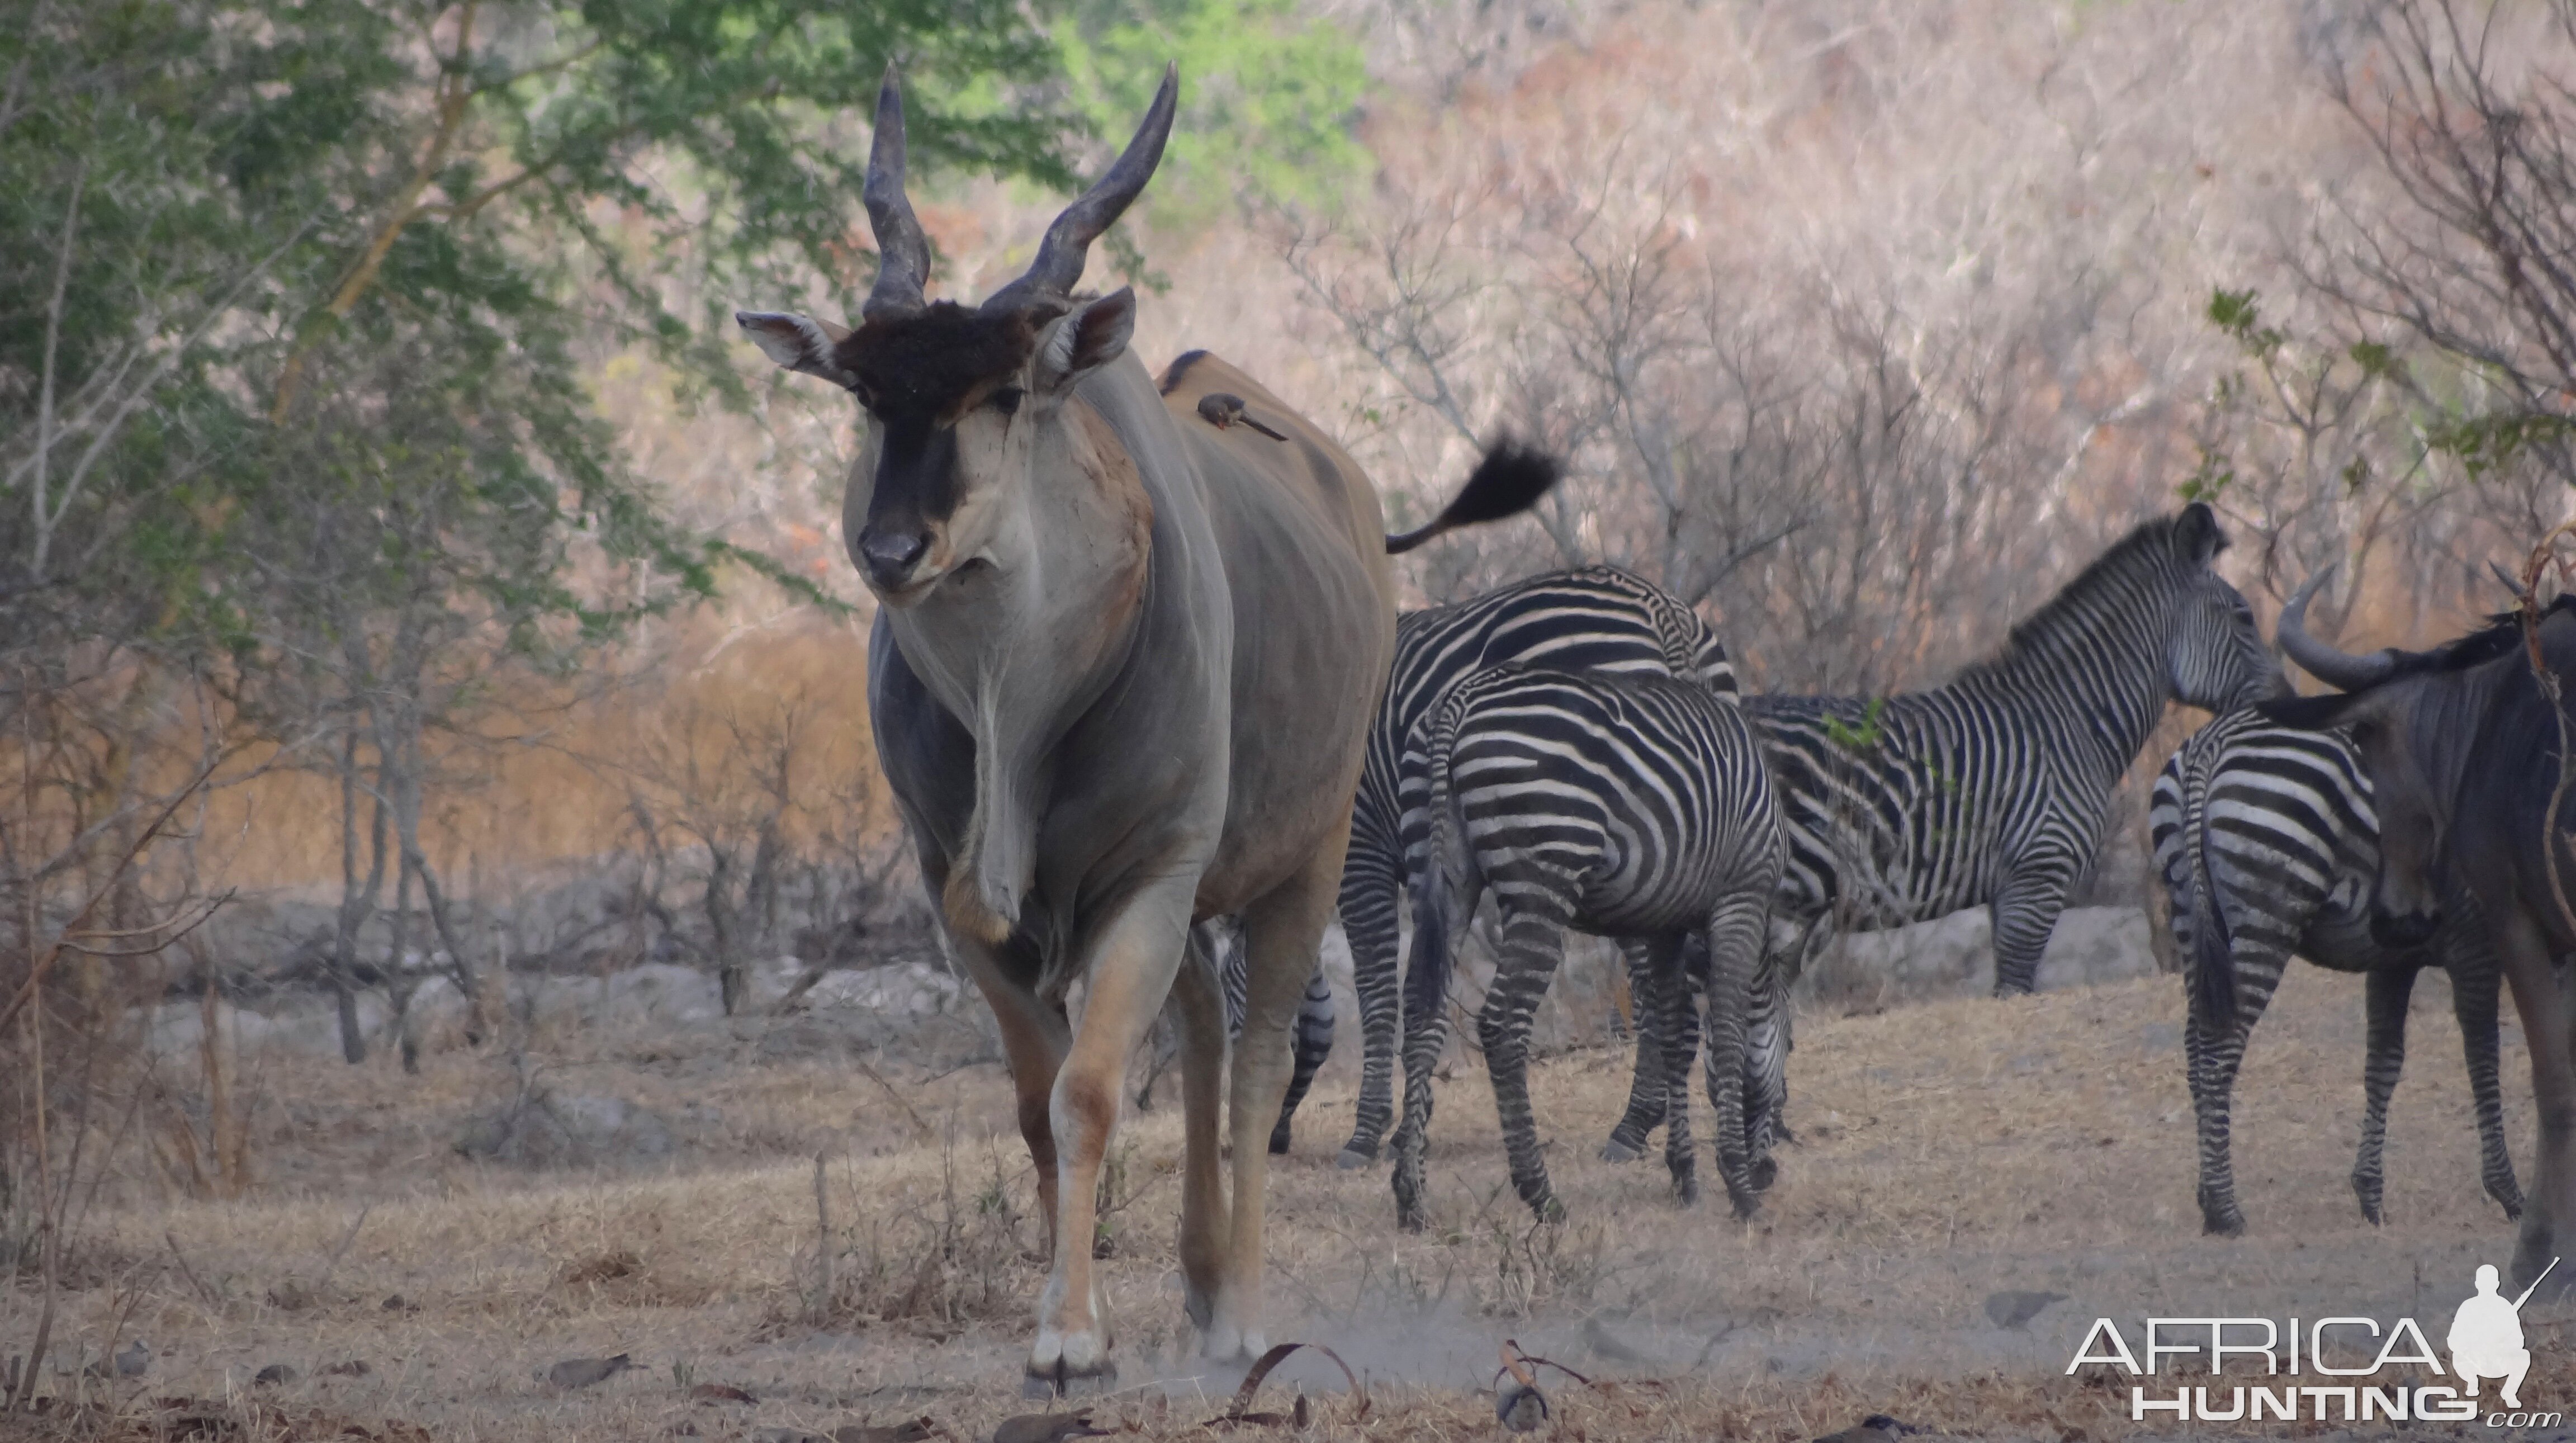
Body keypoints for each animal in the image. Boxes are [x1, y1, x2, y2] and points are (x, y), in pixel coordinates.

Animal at [736, 67, 1556, 1391]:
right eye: (864, 395)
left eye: (1006, 390)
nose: (891, 549)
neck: (1018, 710)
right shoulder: (963, 907)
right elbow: (1039, 1100)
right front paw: (1073, 1316)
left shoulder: (1153, 873)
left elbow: (1092, 1091)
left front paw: (1072, 1338)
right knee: (1211, 1039)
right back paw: (1203, 1283)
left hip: (1304, 860)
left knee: (1259, 1057)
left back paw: (1247, 1313)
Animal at [1252, 564, 1731, 1160]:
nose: (1271, 1140)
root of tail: (1656, 602)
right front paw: (1410, 1125)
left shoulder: (1360, 848)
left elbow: (1377, 985)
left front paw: (1368, 1132)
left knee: (1650, 979)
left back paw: (1634, 1124)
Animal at [1391, 665, 1772, 1226]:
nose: (1770, 1173)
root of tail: (1460, 697)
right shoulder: (1741, 897)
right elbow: (1725, 1031)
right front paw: (1738, 1186)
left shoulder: (1665, 923)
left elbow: (1676, 1033)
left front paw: (1684, 1174)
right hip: (1542, 878)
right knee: (1502, 1023)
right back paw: (1542, 1195)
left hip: (1436, 870)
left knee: (1423, 1010)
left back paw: (1411, 1197)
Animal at [1607, 502, 2277, 1154]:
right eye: (2244, 617)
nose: (2284, 704)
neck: (2069, 724)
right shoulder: (2040, 874)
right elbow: (2015, 993)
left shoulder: (2009, 888)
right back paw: (1653, 1128)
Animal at [2153, 706, 2514, 1237]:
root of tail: (2211, 739)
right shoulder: (2474, 938)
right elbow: (2485, 1056)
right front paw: (2509, 1190)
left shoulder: (2395, 958)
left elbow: (2383, 1063)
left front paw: (2370, 1195)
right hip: (2266, 909)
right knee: (2219, 1051)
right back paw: (2226, 1211)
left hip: (2188, 914)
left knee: (2197, 1048)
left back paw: (2207, 1200)